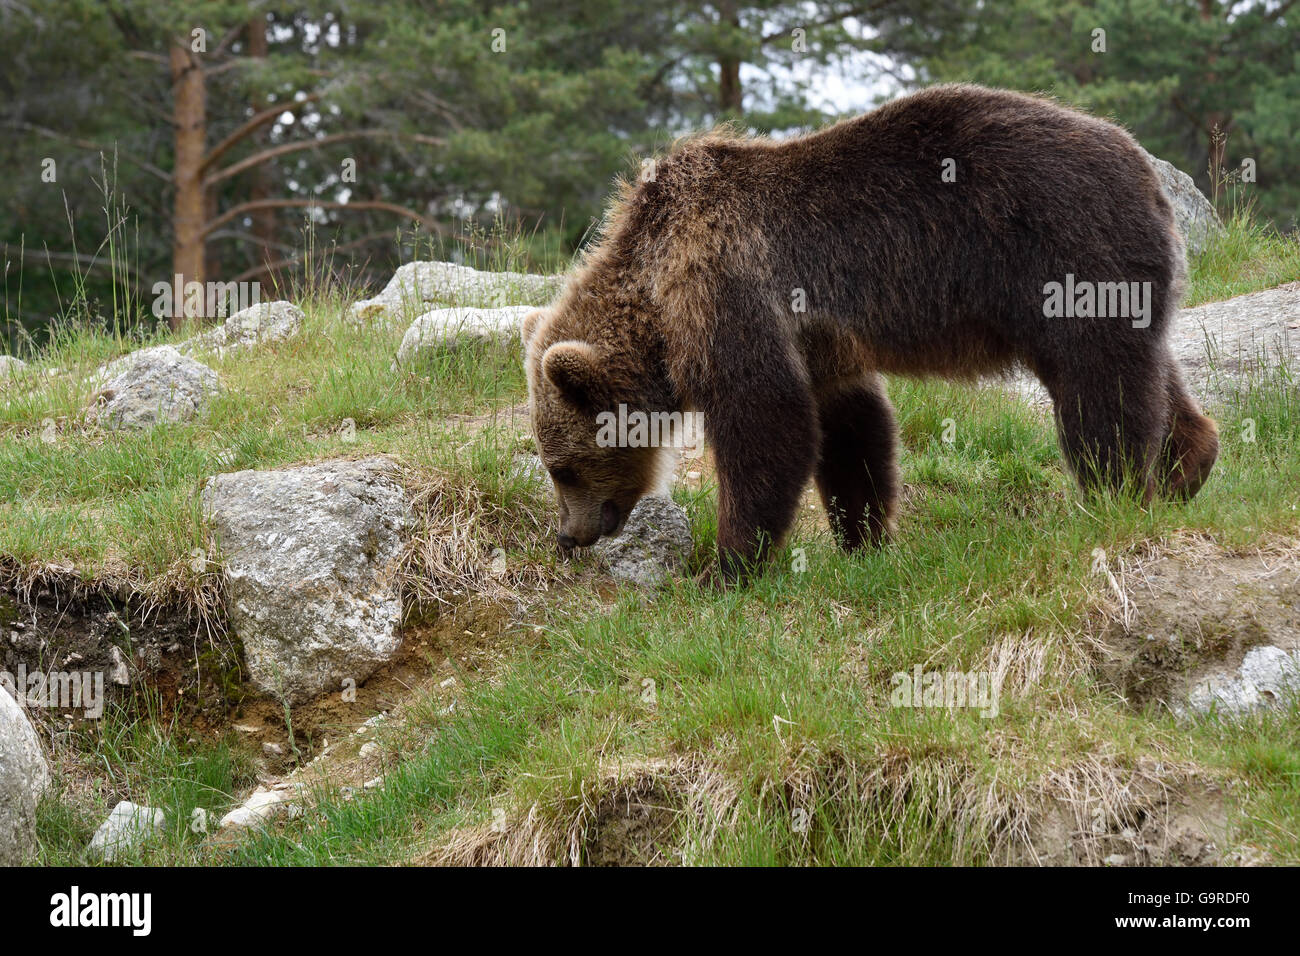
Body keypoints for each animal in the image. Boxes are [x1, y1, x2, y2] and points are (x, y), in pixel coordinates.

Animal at [520, 82, 1216, 582]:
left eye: (561, 468)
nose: (568, 535)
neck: (655, 297)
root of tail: (1149, 173)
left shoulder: (728, 289)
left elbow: (765, 419)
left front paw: (728, 566)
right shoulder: (822, 343)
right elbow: (851, 429)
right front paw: (863, 539)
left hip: (1067, 257)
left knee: (1099, 386)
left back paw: (1113, 497)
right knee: (1151, 370)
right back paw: (1187, 466)